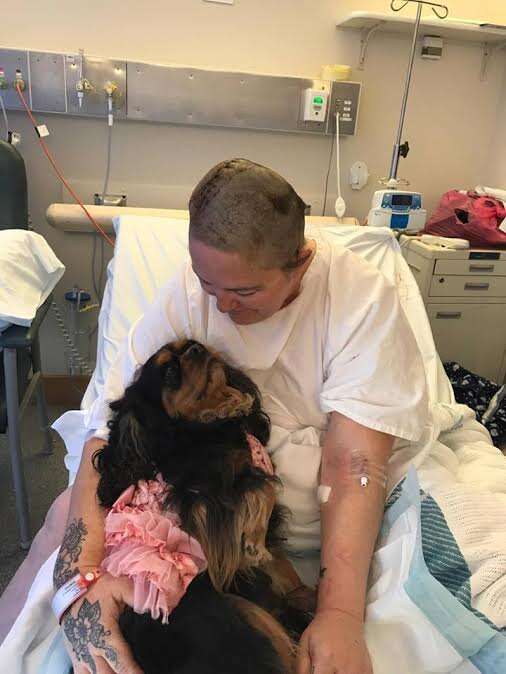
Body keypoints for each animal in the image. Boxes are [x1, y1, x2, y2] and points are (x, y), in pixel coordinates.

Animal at [91, 338, 312, 668]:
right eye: (170, 372)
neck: (199, 430)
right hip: (242, 613)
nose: (197, 348)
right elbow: (262, 490)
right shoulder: (208, 504)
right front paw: (254, 543)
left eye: (190, 345)